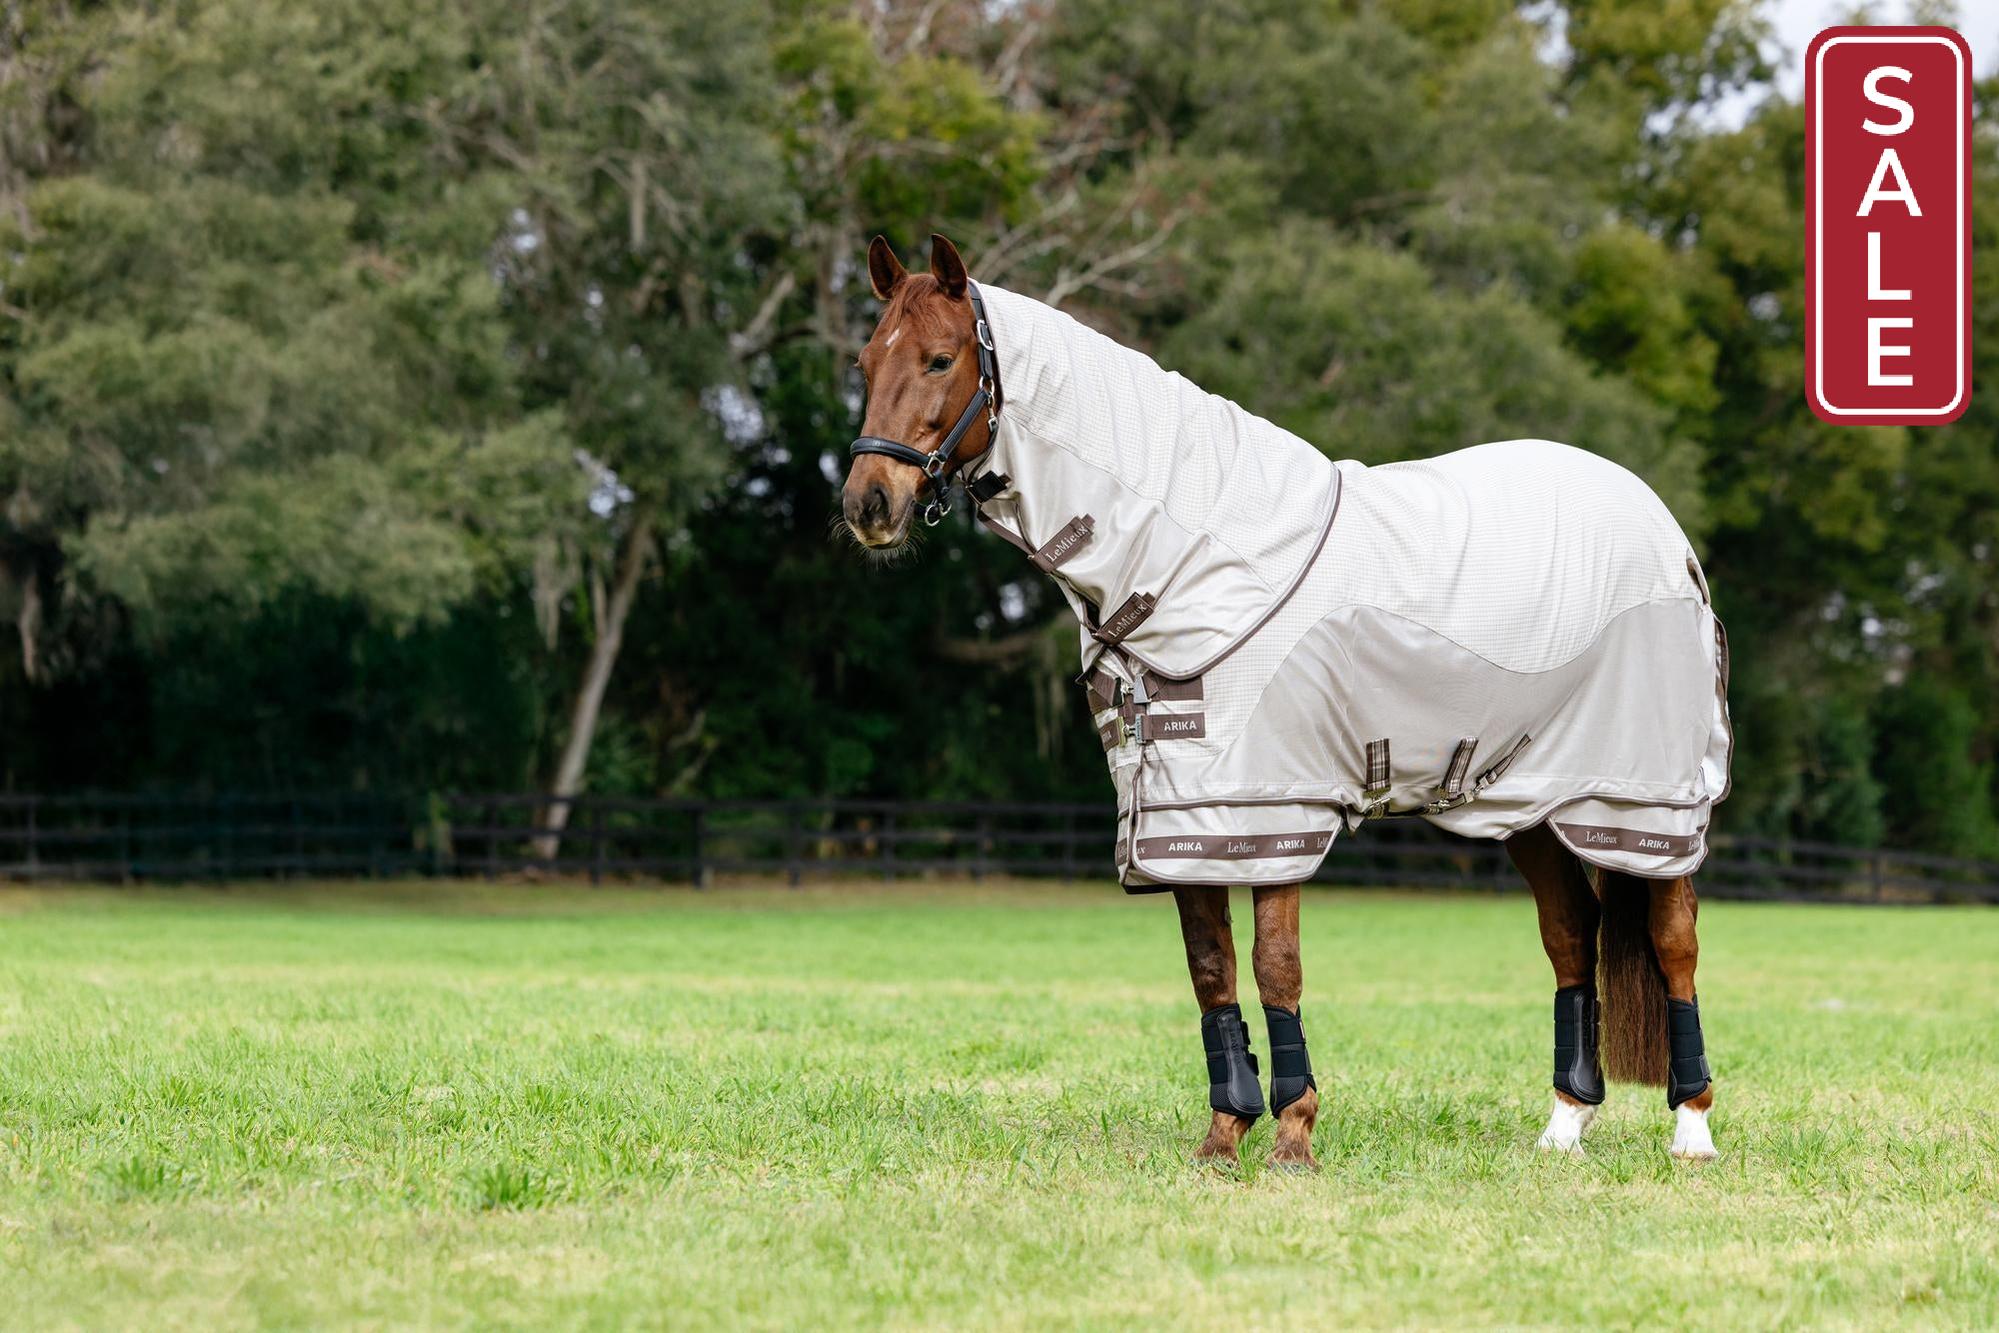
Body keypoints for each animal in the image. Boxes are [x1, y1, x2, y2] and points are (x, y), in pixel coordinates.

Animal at [841, 233, 1728, 1170]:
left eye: (941, 358)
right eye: (864, 361)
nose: (868, 503)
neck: (1194, 555)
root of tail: (1664, 532)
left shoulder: (1271, 806)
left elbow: (1274, 964)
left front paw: (1293, 1134)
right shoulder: (1184, 817)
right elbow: (1210, 969)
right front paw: (1223, 1133)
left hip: (1643, 799)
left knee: (1672, 939)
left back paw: (1691, 1128)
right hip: (1529, 801)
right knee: (1570, 934)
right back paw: (1563, 1123)